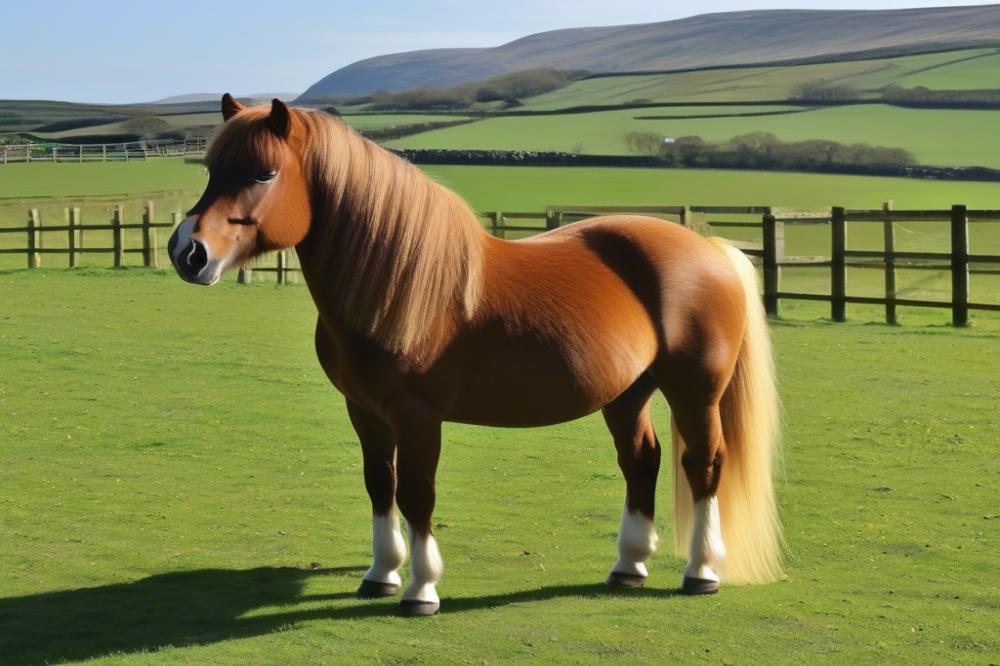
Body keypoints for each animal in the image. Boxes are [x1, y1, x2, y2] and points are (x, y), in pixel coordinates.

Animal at [168, 96, 784, 616]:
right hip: (628, 392)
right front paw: (380, 575)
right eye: (211, 171)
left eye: (263, 173)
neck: (395, 283)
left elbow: (417, 493)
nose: (187, 251)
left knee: (703, 464)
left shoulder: (417, 417)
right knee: (641, 460)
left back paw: (701, 571)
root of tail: (712, 248)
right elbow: (380, 484)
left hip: (695, 392)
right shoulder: (364, 411)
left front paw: (420, 589)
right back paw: (628, 565)